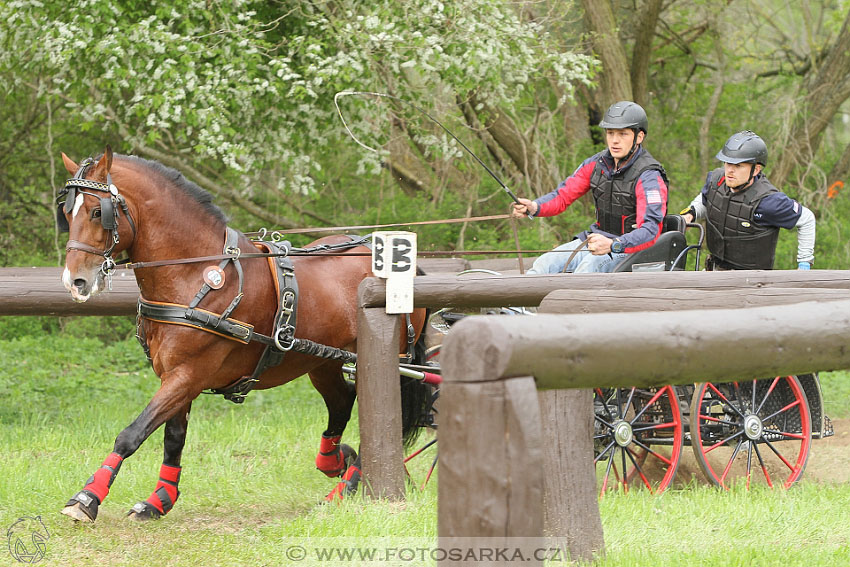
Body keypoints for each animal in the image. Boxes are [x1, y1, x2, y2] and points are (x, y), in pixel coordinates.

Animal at [58, 148, 430, 524]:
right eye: (67, 213)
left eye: (97, 212)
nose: (75, 281)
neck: (195, 274)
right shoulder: (176, 376)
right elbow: (173, 438)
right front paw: (159, 500)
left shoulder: (188, 374)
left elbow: (132, 433)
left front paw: (87, 497)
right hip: (323, 364)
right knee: (343, 403)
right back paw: (339, 465)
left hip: (385, 363)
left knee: (383, 420)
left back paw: (349, 484)